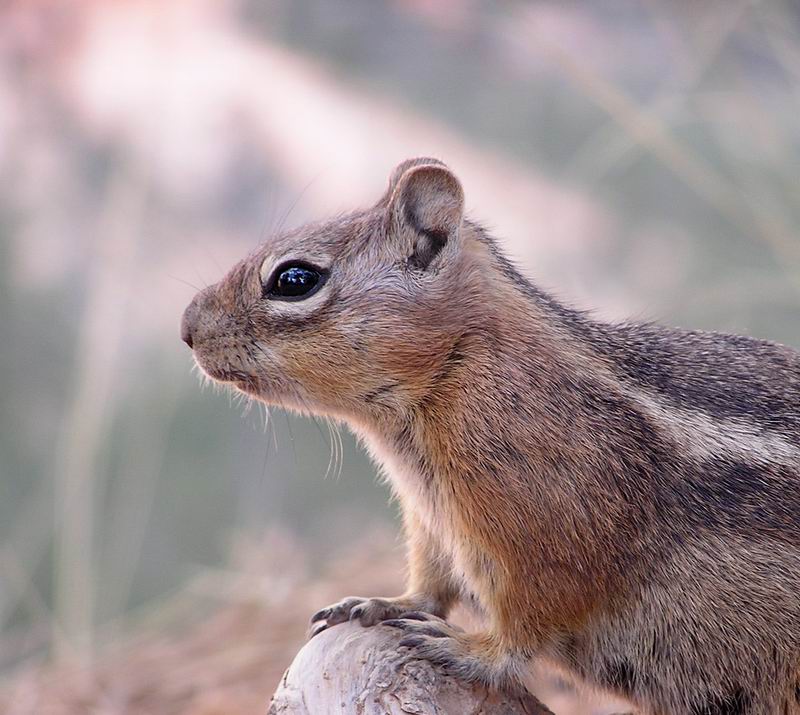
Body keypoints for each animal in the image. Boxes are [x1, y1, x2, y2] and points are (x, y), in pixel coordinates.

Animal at [181, 159, 800, 712]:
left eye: (295, 279)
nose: (186, 327)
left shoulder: (548, 534)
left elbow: (529, 625)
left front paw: (467, 647)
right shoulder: (432, 521)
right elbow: (431, 585)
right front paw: (382, 602)